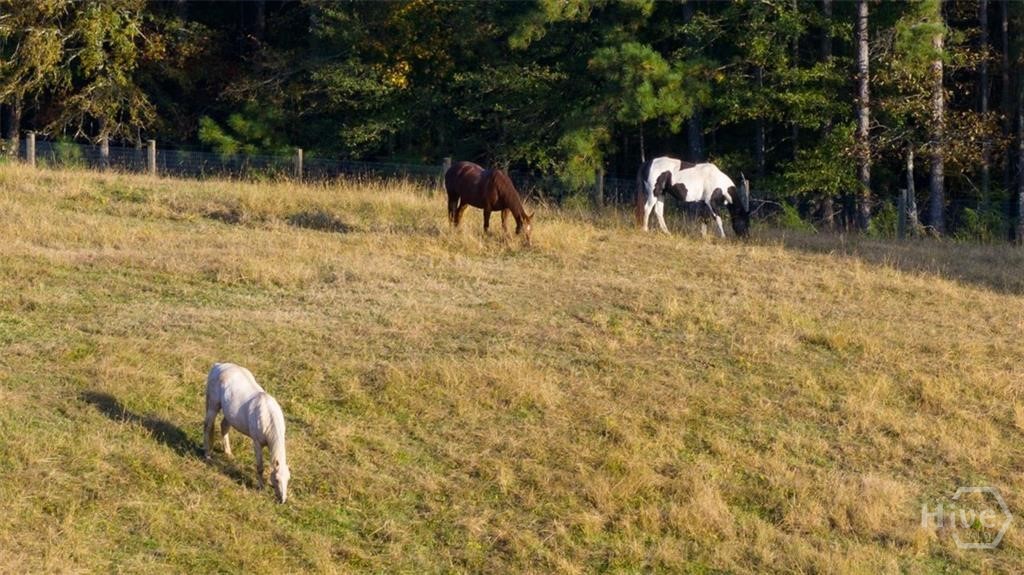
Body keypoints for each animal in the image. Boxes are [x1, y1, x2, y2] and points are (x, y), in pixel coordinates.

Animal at [204, 362, 291, 503]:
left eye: (288, 479)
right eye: (277, 479)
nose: (282, 500)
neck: (267, 416)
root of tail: (219, 366)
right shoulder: (257, 443)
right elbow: (260, 467)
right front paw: (260, 487)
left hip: (229, 415)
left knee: (224, 427)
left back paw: (228, 453)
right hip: (213, 406)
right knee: (207, 426)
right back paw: (207, 454)